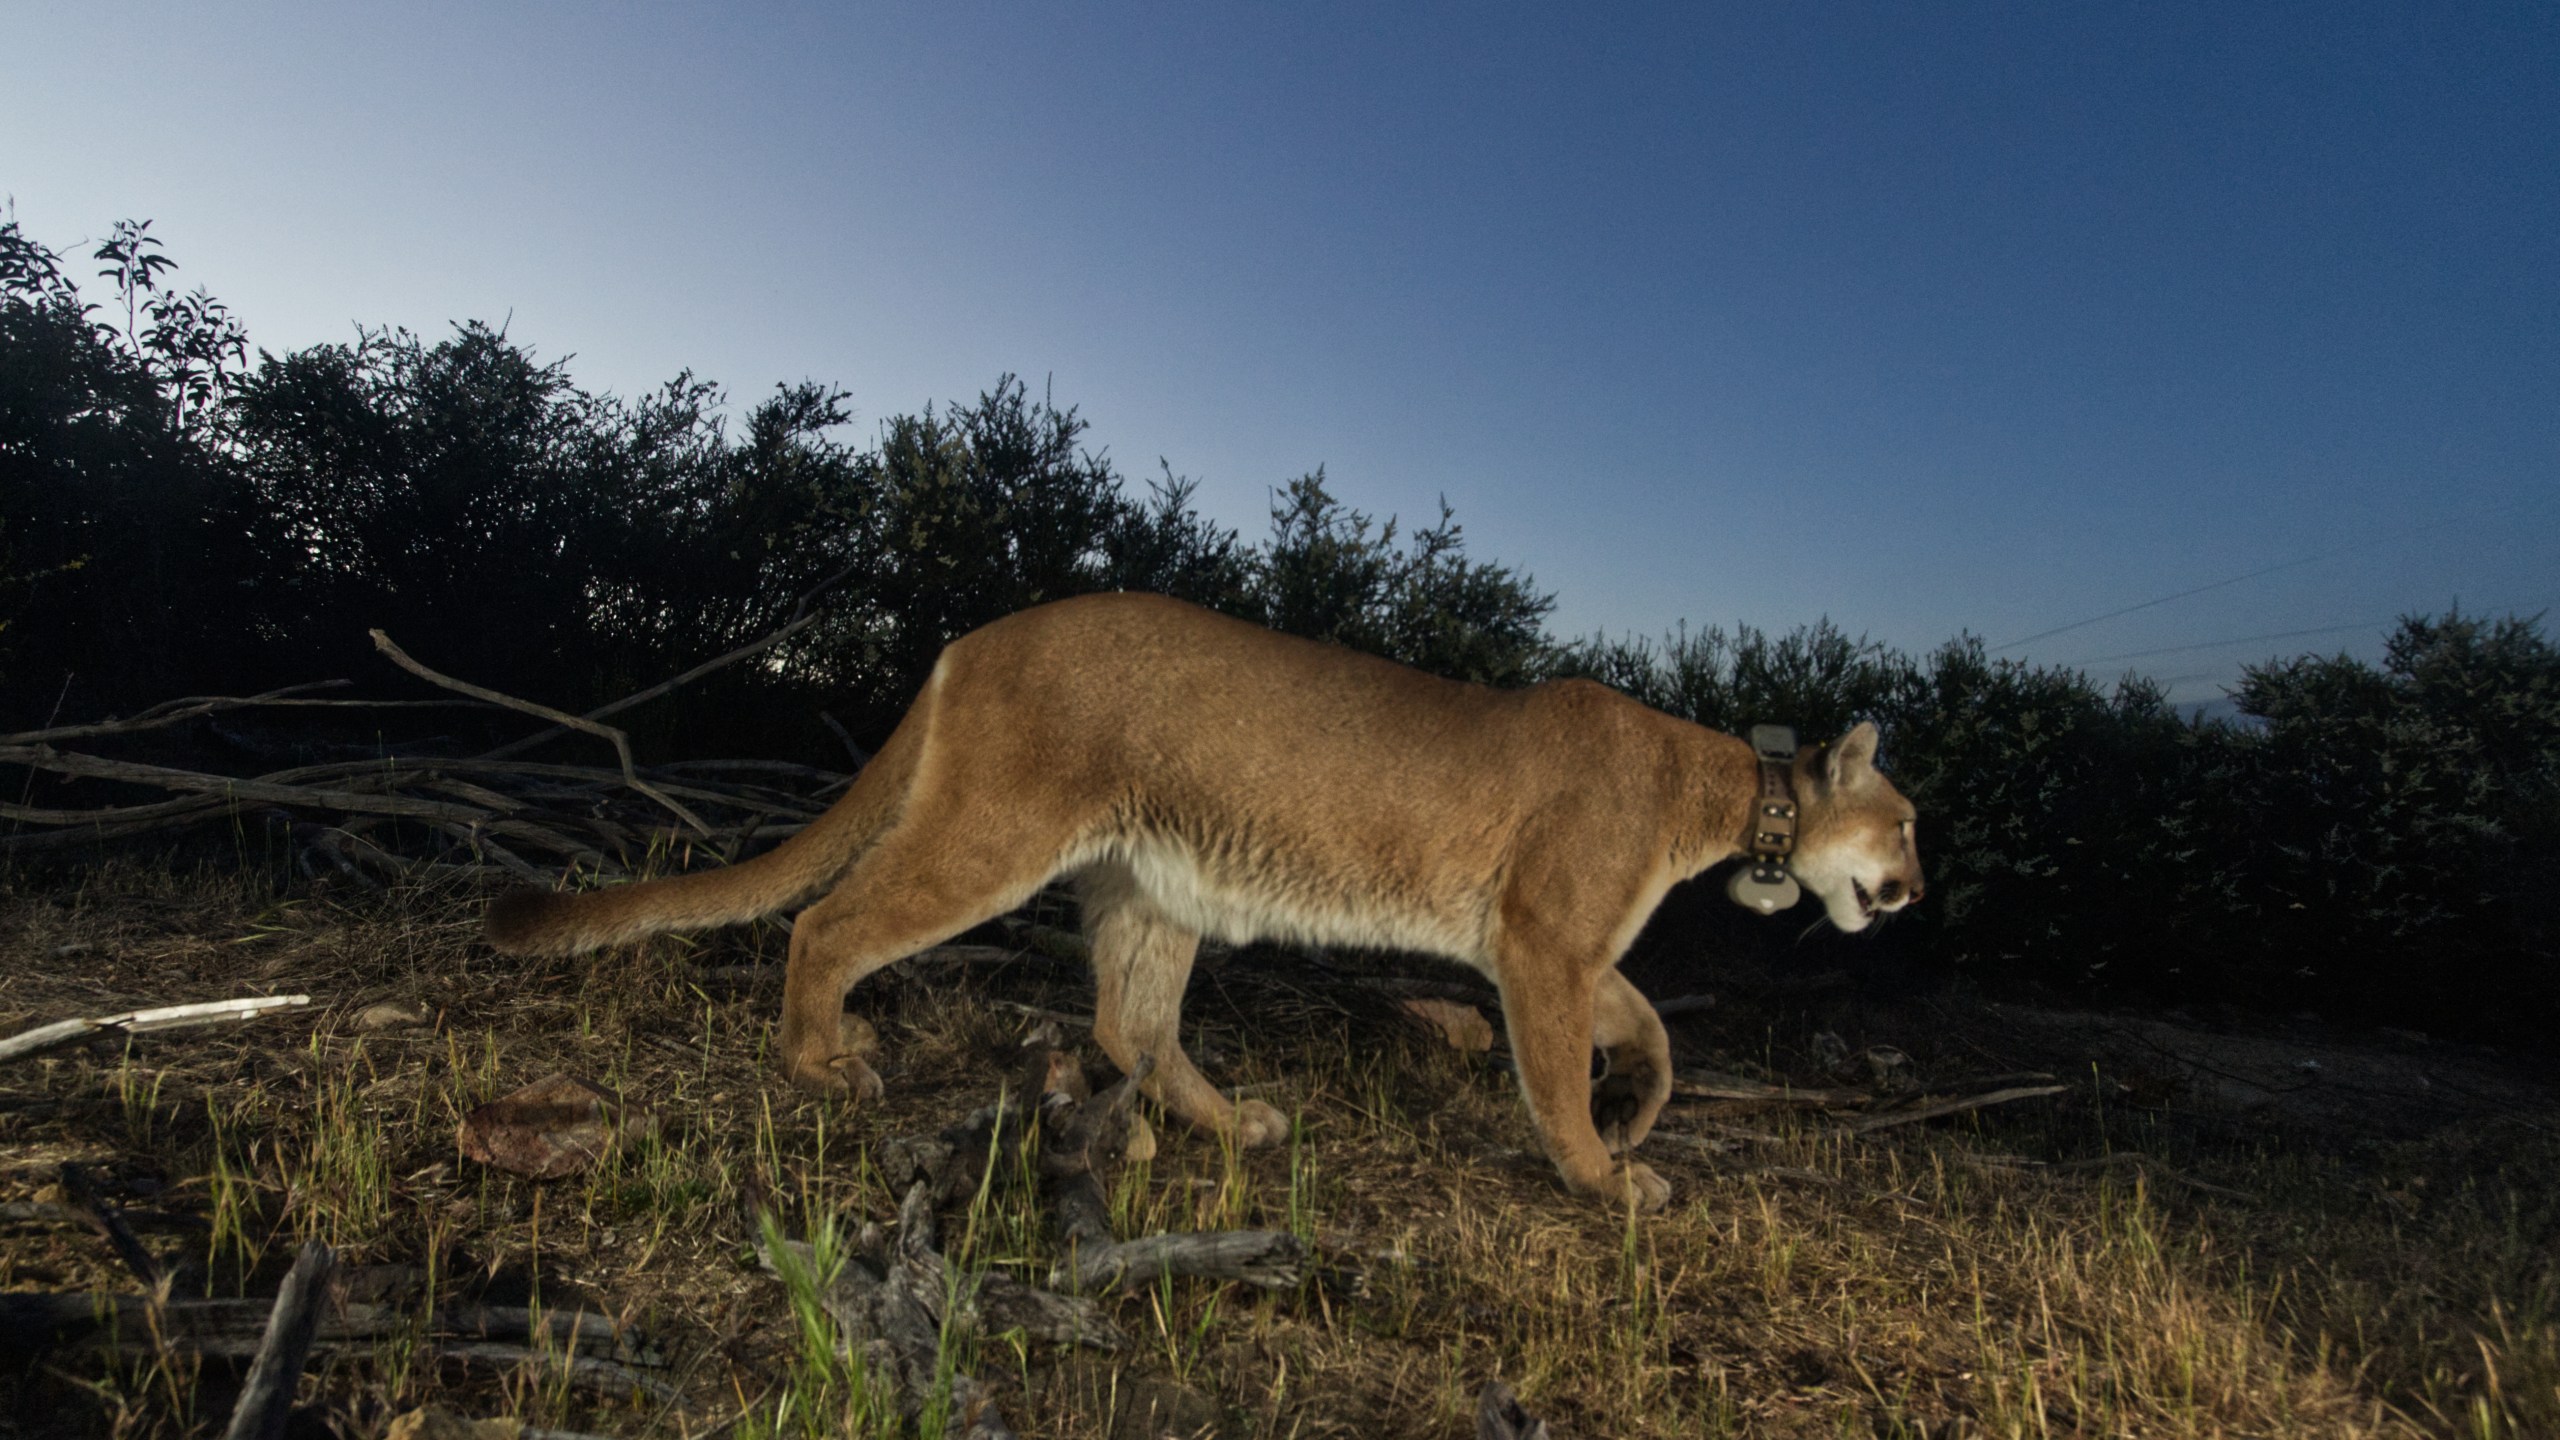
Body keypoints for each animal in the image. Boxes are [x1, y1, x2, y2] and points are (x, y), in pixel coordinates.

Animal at [483, 589, 1925, 1204]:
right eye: (1908, 823)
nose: (1912, 890)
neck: (1732, 790)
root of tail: (969, 637)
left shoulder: (1553, 946)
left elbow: (1650, 1023)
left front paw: (1641, 1111)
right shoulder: (1541, 940)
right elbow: (1562, 1072)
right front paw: (1604, 1175)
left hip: (1158, 882)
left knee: (1129, 1022)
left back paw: (1235, 1127)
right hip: (997, 832)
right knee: (827, 921)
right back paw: (822, 1062)